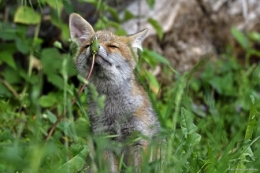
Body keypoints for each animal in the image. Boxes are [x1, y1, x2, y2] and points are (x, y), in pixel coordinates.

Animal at [69, 12, 160, 172]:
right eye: (87, 45)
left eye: (112, 46)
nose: (94, 47)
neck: (115, 111)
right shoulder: (105, 139)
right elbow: (110, 168)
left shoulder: (139, 138)